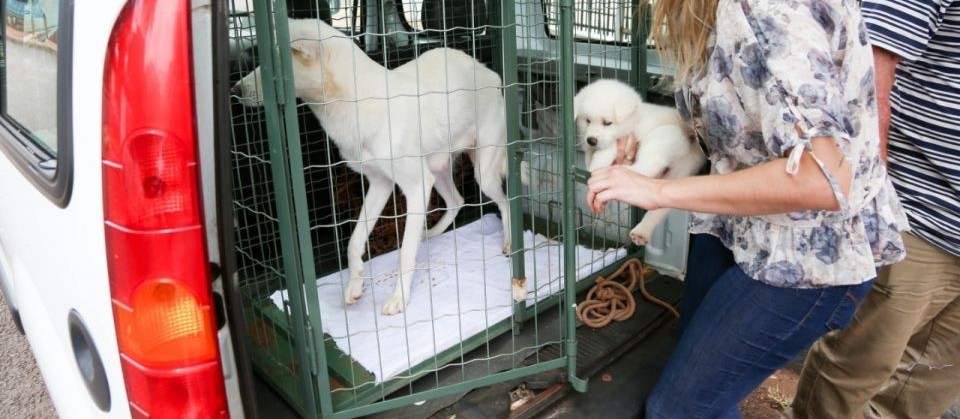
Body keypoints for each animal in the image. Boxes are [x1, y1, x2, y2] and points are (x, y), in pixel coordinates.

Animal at [232, 18, 520, 316]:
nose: (235, 91)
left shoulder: (416, 186)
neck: (354, 103)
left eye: (273, 66)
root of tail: (489, 73)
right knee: (456, 200)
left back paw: (509, 243)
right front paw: (354, 286)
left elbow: (405, 252)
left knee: (504, 202)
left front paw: (399, 298)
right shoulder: (380, 183)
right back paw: (430, 233)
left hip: (481, 171)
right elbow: (353, 242)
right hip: (438, 168)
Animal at [576, 79, 704, 246]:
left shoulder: (622, 139)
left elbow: (603, 153)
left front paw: (597, 171)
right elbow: (589, 158)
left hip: (665, 136)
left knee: (650, 165)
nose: (591, 140)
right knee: (661, 205)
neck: (635, 119)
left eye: (607, 123)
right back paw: (641, 232)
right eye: (587, 120)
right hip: (681, 172)